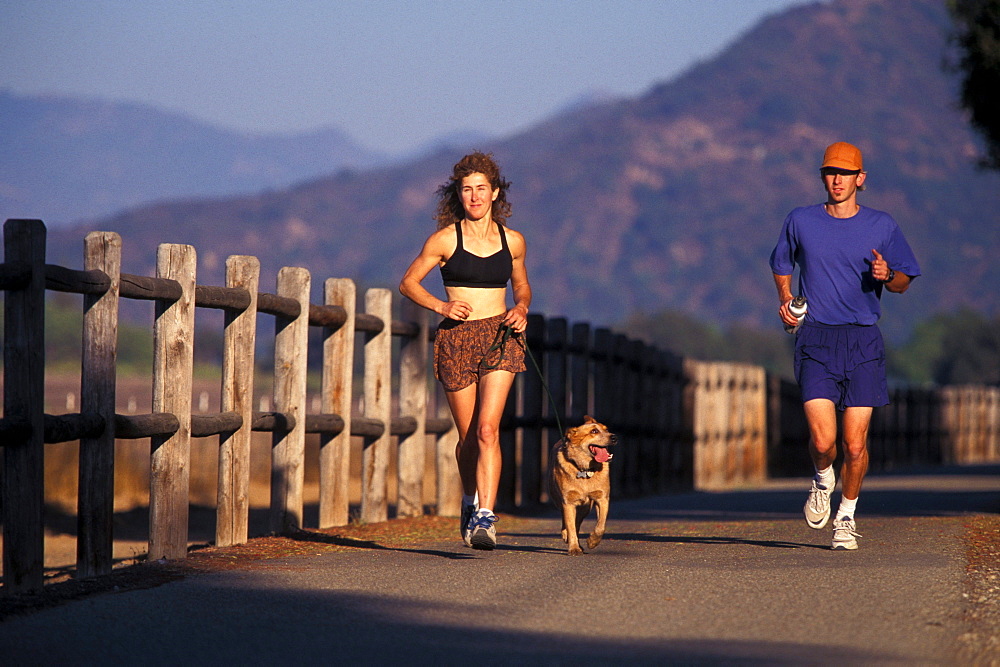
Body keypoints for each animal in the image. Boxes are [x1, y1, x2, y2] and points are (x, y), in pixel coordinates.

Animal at [548, 414, 616, 556]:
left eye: (606, 429)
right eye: (594, 431)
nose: (614, 437)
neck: (584, 470)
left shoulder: (602, 498)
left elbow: (601, 525)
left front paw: (592, 541)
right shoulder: (568, 502)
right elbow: (570, 526)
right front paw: (574, 548)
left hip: (585, 507)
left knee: (577, 522)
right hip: (558, 500)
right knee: (567, 521)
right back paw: (566, 535)